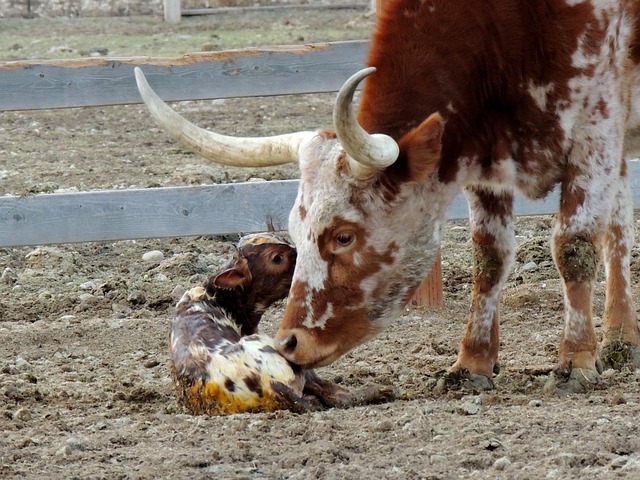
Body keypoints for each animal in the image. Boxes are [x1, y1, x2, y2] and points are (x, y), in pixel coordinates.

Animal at [138, 0, 640, 390]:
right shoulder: (484, 156)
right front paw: (472, 363)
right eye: (293, 235)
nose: (290, 344)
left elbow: (573, 247)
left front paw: (576, 360)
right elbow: (490, 257)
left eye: (344, 236)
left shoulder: (595, 130)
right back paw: (622, 337)